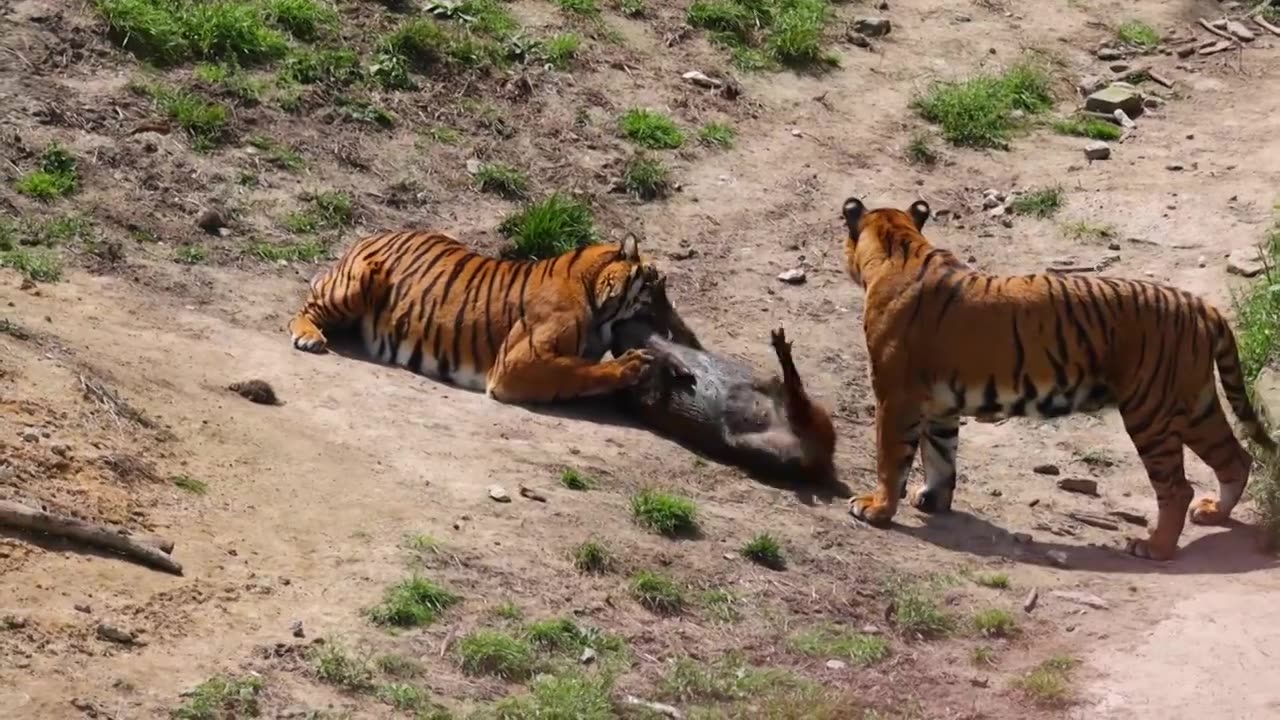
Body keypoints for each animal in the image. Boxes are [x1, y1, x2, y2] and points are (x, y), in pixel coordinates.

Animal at [285, 228, 675, 399]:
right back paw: (309, 336)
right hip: (355, 285)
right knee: (303, 309)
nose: (673, 329)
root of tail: (373, 233)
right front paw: (633, 365)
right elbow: (579, 371)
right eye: (656, 283)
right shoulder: (518, 364)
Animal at [844, 194, 1274, 561]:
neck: (900, 244)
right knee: (1236, 458)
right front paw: (933, 500)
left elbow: (891, 457)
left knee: (1177, 487)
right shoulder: (939, 403)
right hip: (1193, 404)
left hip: (1150, 412)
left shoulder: (894, 395)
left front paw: (877, 508)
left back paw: (1155, 546)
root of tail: (1200, 305)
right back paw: (1215, 512)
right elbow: (940, 453)